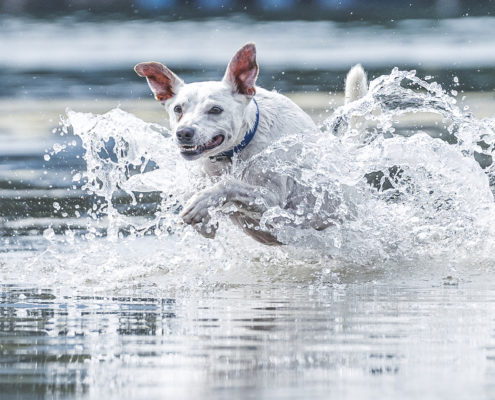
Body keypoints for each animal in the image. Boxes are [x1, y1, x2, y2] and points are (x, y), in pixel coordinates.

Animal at [134, 43, 366, 244]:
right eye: (178, 109)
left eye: (216, 109)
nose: (183, 133)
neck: (232, 154)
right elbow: (192, 191)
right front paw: (204, 220)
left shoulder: (272, 201)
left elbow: (229, 185)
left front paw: (202, 202)